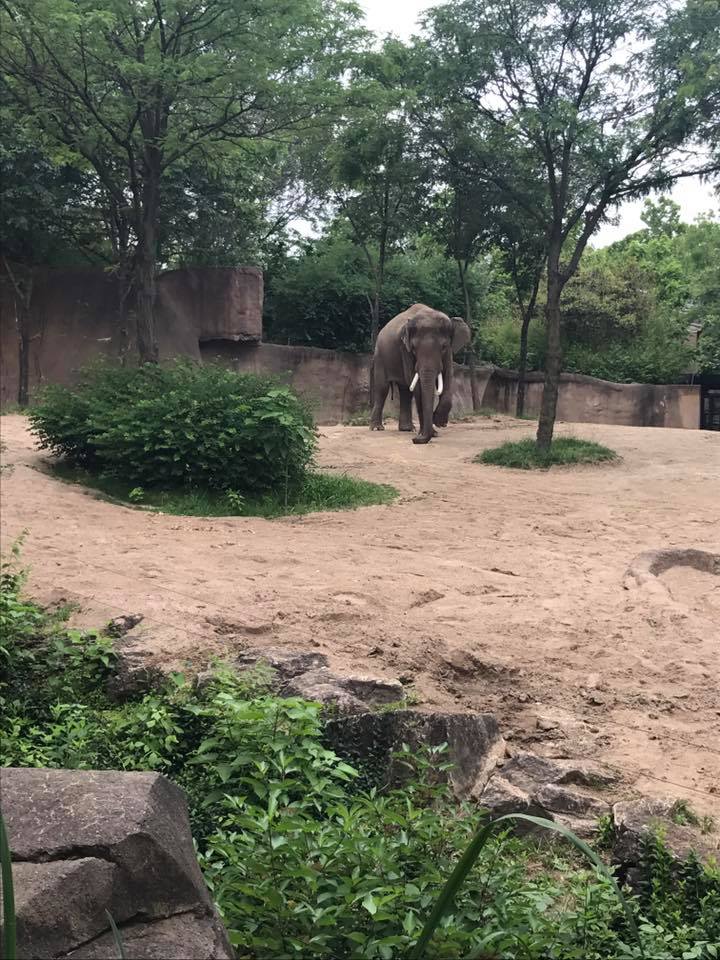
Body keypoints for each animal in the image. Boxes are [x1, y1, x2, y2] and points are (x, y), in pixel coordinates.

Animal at [370, 303, 471, 443]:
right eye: (413, 348)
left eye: (444, 347)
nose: (415, 440)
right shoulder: (404, 348)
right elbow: (417, 385)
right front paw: (429, 433)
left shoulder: (449, 352)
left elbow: (447, 376)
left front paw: (438, 423)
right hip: (380, 356)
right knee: (382, 388)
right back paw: (377, 428)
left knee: (405, 391)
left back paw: (407, 429)